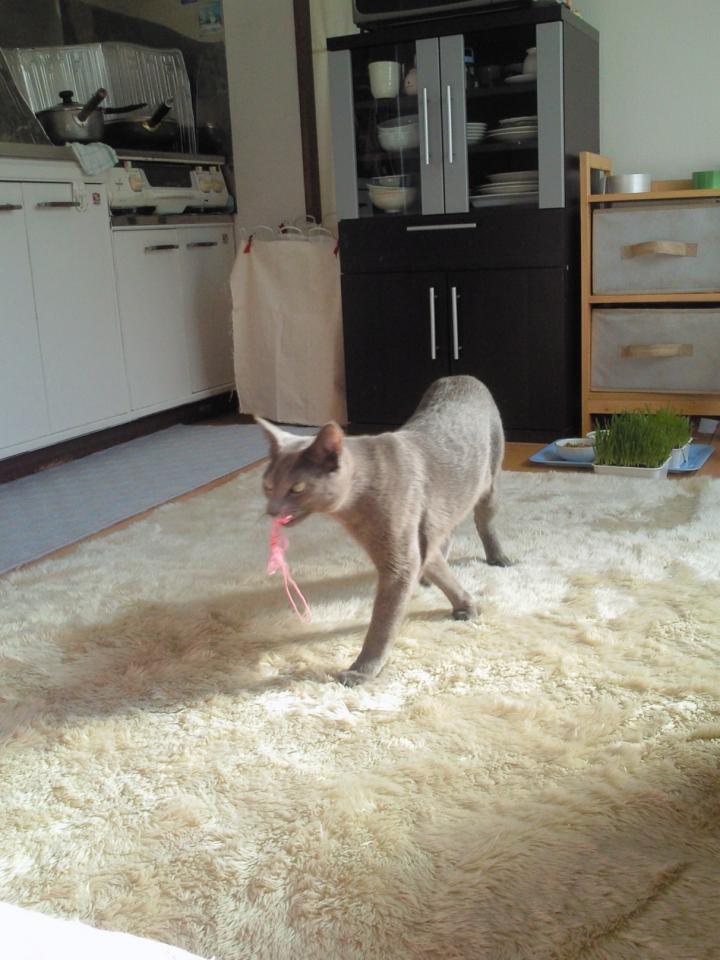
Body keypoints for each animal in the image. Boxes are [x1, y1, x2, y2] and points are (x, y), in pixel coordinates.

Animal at [256, 375, 511, 686]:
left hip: (490, 481)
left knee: (484, 521)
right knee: (446, 532)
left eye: (297, 488)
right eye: (268, 486)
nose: (272, 510)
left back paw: (498, 557)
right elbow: (439, 568)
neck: (355, 508)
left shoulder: (399, 559)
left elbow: (383, 622)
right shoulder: (412, 542)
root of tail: (461, 376)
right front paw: (465, 605)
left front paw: (361, 671)